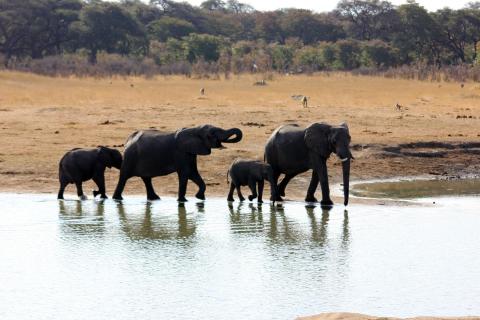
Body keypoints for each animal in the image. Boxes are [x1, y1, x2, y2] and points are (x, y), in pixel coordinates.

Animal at [110, 124, 242, 201]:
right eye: (212, 133)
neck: (194, 129)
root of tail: (128, 140)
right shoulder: (180, 153)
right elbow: (185, 173)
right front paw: (182, 202)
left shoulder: (190, 153)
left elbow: (193, 173)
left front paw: (200, 198)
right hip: (130, 157)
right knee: (124, 177)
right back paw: (117, 199)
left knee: (146, 178)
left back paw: (155, 199)